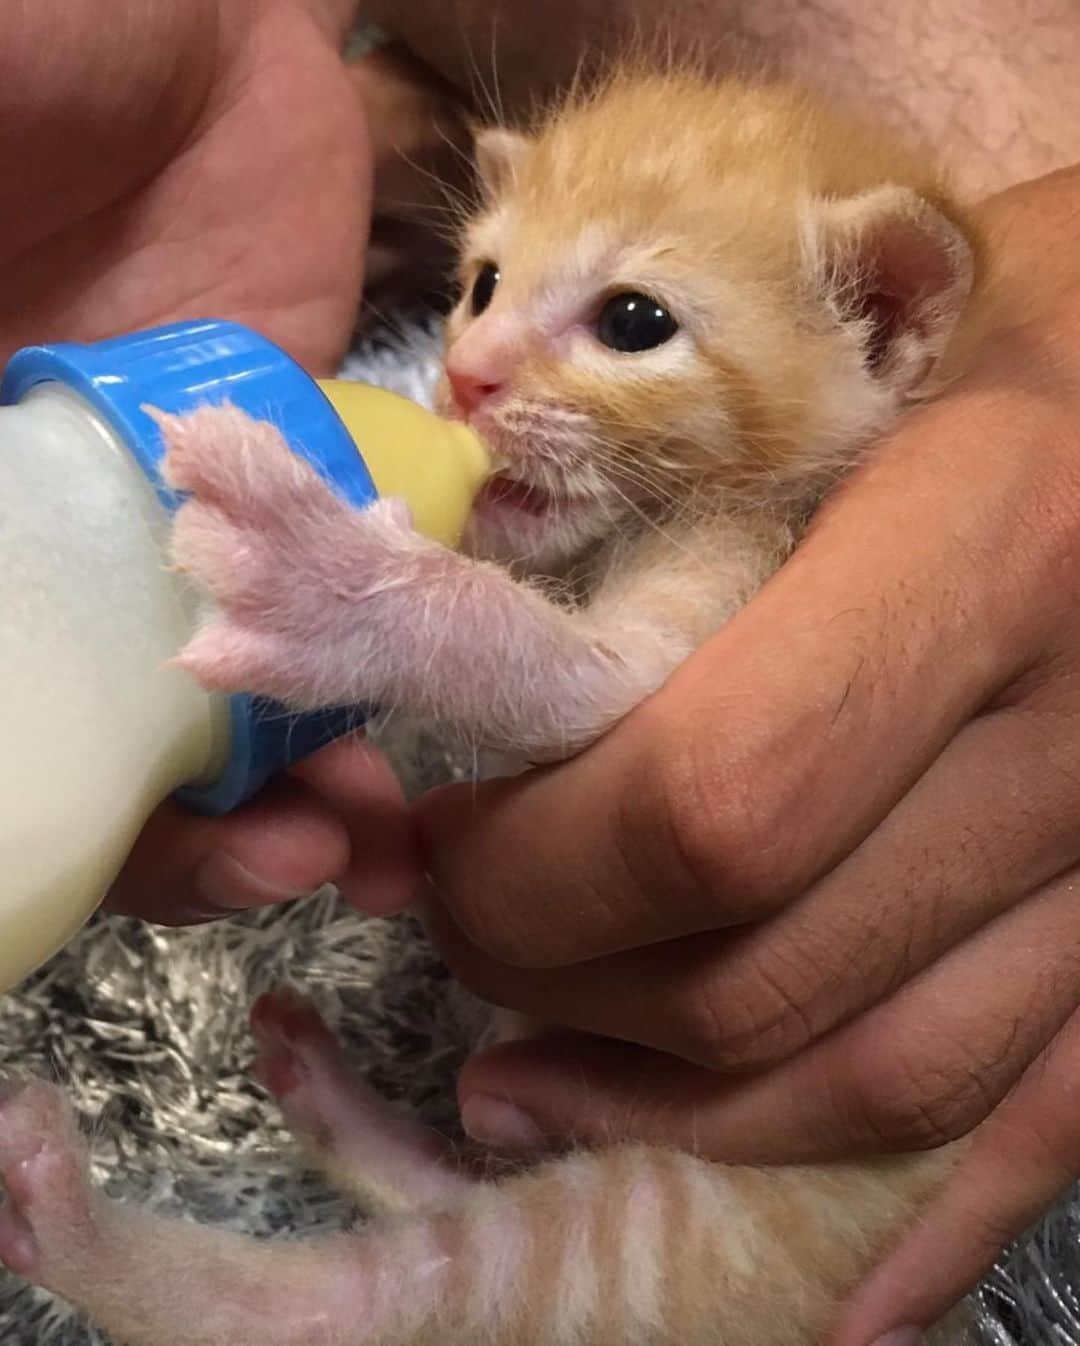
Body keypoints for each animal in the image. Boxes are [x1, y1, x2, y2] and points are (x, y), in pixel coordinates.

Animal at [0, 65, 980, 1346]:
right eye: (482, 285)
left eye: (633, 322)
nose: (463, 377)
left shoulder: (730, 579)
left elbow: (572, 675)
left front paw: (336, 582)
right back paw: (331, 1100)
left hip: (701, 1219)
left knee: (411, 1289)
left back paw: (66, 1212)